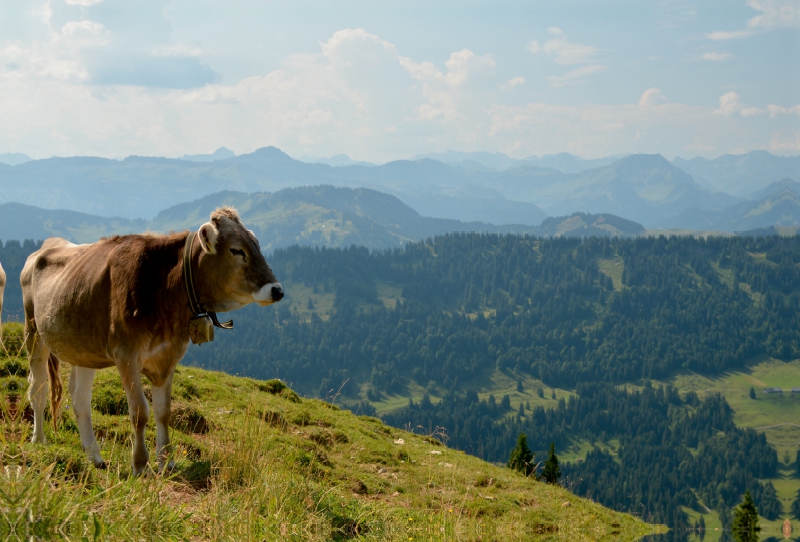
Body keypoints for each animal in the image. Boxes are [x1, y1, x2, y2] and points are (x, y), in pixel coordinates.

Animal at [21, 208, 284, 476]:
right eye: (236, 250)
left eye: (256, 244)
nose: (277, 290)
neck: (163, 288)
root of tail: (46, 246)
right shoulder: (126, 355)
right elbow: (139, 411)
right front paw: (139, 464)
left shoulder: (169, 355)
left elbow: (164, 411)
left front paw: (166, 460)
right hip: (34, 332)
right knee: (38, 388)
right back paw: (39, 439)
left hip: (83, 349)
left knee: (79, 398)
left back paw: (94, 456)